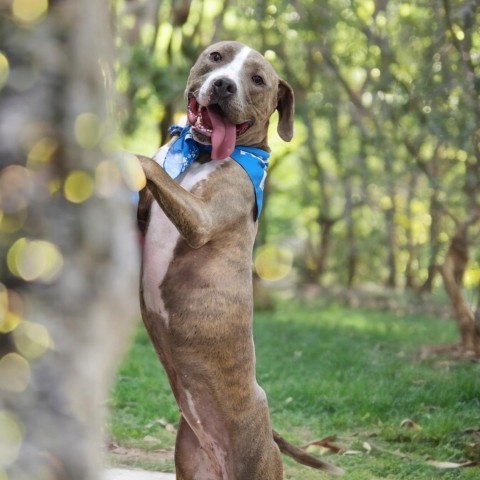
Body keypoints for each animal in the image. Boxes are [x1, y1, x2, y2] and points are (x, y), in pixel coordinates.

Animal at [137, 42, 344, 480]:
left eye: (258, 79)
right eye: (216, 57)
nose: (223, 85)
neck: (197, 154)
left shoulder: (202, 218)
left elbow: (144, 163)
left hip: (255, 460)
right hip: (190, 457)